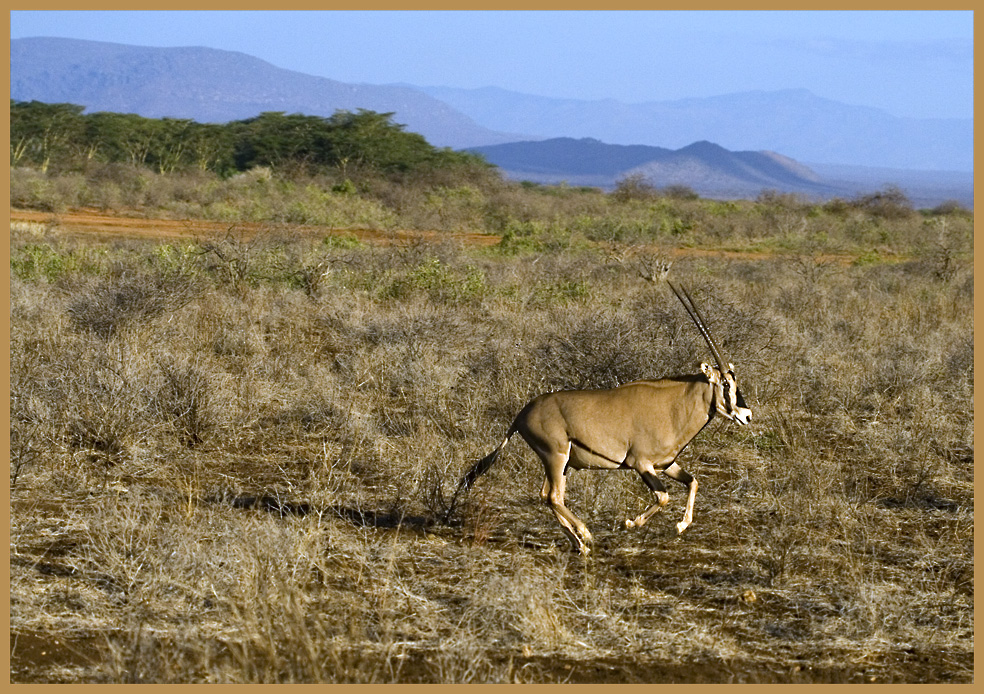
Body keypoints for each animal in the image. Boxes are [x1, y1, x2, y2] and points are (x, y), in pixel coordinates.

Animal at [450, 280, 748, 556]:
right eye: (725, 384)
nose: (746, 415)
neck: (674, 405)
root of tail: (523, 413)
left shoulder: (666, 464)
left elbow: (693, 482)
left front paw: (681, 525)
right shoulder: (641, 463)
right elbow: (663, 497)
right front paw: (630, 523)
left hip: (560, 463)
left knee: (548, 496)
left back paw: (579, 543)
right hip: (556, 456)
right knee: (554, 496)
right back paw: (586, 535)